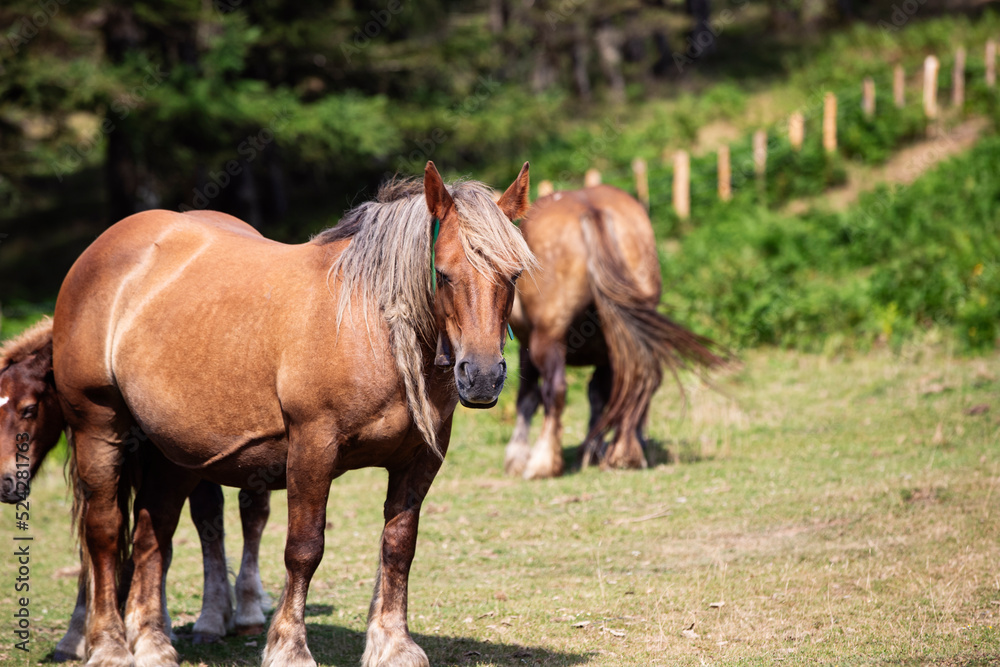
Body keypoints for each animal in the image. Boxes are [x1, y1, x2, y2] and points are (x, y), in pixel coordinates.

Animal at [0, 320, 272, 664]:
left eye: (29, 409)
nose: (5, 483)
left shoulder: (168, 464)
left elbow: (160, 541)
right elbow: (99, 541)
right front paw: (78, 634)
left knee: (252, 514)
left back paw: (245, 611)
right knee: (210, 515)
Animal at [50, 162, 536, 667]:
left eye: (514, 274)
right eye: (442, 274)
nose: (482, 377)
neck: (369, 327)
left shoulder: (418, 460)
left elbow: (399, 546)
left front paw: (394, 645)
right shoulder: (312, 448)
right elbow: (304, 549)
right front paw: (289, 647)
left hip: (175, 451)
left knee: (152, 536)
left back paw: (152, 643)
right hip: (97, 429)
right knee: (104, 533)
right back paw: (108, 644)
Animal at [504, 185, 724, 482]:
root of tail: (591, 209)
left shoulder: (527, 345)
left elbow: (528, 398)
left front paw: (517, 456)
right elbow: (600, 396)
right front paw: (593, 450)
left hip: (547, 339)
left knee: (555, 389)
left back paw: (544, 462)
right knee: (637, 382)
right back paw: (625, 452)